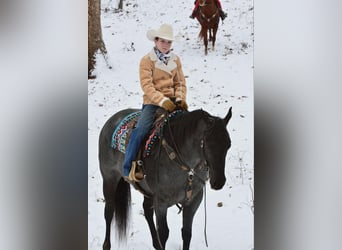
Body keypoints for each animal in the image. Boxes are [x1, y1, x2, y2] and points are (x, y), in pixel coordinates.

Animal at [99, 106, 232, 249]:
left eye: (228, 145)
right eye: (208, 144)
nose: (219, 181)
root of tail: (110, 121)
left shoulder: (193, 201)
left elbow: (186, 232)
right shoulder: (161, 203)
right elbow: (163, 233)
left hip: (148, 192)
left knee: (147, 211)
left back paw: (156, 244)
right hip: (110, 180)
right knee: (109, 211)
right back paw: (106, 245)